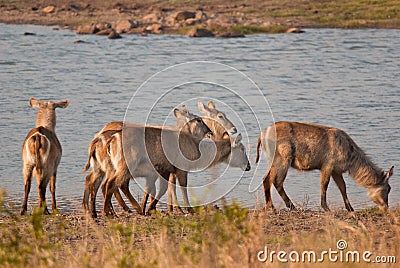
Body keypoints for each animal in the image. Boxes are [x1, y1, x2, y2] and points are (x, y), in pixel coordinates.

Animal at [101, 123, 250, 216]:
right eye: (242, 149)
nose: (248, 166)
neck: (197, 148)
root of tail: (112, 139)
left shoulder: (166, 170)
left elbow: (162, 189)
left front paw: (149, 208)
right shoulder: (181, 169)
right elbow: (181, 188)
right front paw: (189, 210)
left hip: (117, 167)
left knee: (111, 184)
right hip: (126, 166)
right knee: (114, 184)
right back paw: (107, 211)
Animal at [256, 121, 394, 211]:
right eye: (388, 188)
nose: (386, 207)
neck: (350, 156)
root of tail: (261, 135)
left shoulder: (336, 171)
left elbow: (343, 187)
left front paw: (350, 208)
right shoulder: (327, 166)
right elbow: (324, 185)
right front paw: (326, 208)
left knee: (269, 180)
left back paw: (285, 206)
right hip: (282, 160)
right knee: (273, 180)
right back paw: (278, 206)